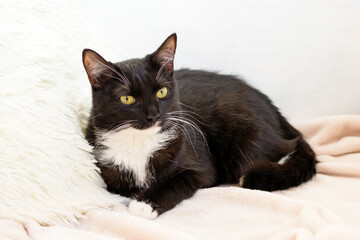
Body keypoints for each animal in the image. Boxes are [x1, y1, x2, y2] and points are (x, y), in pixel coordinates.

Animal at [81, 33, 316, 219]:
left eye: (161, 92)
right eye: (127, 99)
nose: (153, 116)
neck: (139, 141)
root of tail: (273, 108)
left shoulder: (200, 164)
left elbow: (180, 180)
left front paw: (145, 204)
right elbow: (120, 186)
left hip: (245, 139)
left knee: (284, 148)